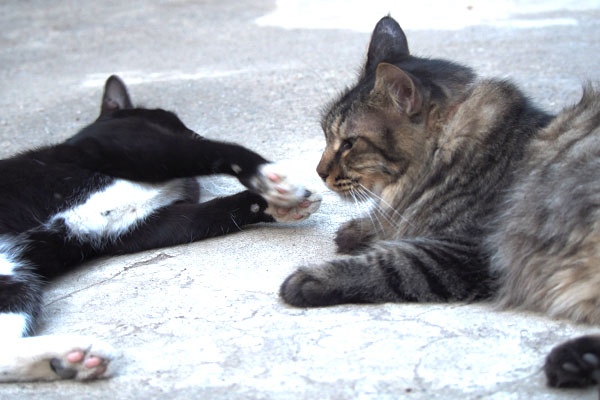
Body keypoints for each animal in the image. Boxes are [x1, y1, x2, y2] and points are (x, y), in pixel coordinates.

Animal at [0, 75, 322, 382]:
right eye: (170, 118)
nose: (193, 130)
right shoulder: (131, 149)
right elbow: (214, 151)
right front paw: (272, 180)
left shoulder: (145, 226)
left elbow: (213, 213)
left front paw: (278, 206)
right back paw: (72, 358)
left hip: (15, 280)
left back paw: (72, 361)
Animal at [280, 16, 600, 390]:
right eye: (326, 135)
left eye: (348, 143)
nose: (319, 172)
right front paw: (359, 230)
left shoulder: (465, 251)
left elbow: (388, 263)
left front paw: (308, 280)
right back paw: (575, 362)